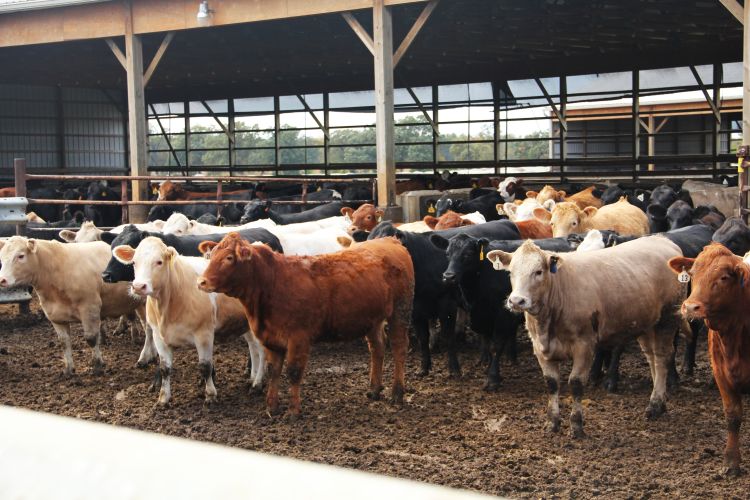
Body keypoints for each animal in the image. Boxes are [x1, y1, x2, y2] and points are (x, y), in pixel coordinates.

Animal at [0, 237, 149, 374]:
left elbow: (91, 338)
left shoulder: (90, 308)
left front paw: (97, 365)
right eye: (2, 257)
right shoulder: (55, 316)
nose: (2, 280)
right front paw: (68, 369)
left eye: (21, 256)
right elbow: (64, 342)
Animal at [112, 237, 264, 406]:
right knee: (253, 348)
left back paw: (257, 384)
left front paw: (210, 395)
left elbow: (205, 367)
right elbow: (165, 368)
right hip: (245, 324)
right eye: (134, 262)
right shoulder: (159, 337)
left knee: (262, 352)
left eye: (159, 262)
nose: (139, 287)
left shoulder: (204, 334)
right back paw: (252, 378)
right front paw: (163, 398)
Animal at [196, 233, 415, 417]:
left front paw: (293, 411)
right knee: (377, 347)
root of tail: (390, 241)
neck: (272, 283)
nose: (201, 282)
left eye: (229, 258)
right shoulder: (271, 338)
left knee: (399, 348)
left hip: (400, 311)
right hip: (372, 319)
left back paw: (397, 394)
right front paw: (271, 407)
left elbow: (293, 372)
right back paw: (374, 390)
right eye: (211, 255)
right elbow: (273, 370)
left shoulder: (298, 338)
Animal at [487, 237, 685, 437]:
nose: (516, 301)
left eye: (538, 271)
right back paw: (661, 402)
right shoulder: (539, 347)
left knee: (662, 357)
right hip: (645, 325)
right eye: (510, 272)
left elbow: (576, 383)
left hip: (667, 319)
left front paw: (576, 426)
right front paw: (552, 422)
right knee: (652, 357)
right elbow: (551, 383)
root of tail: (663, 240)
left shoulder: (584, 345)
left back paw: (655, 404)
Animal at [668, 244, 750, 476]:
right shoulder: (721, 374)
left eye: (723, 277)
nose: (690, 307)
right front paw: (731, 462)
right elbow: (733, 416)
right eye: (693, 273)